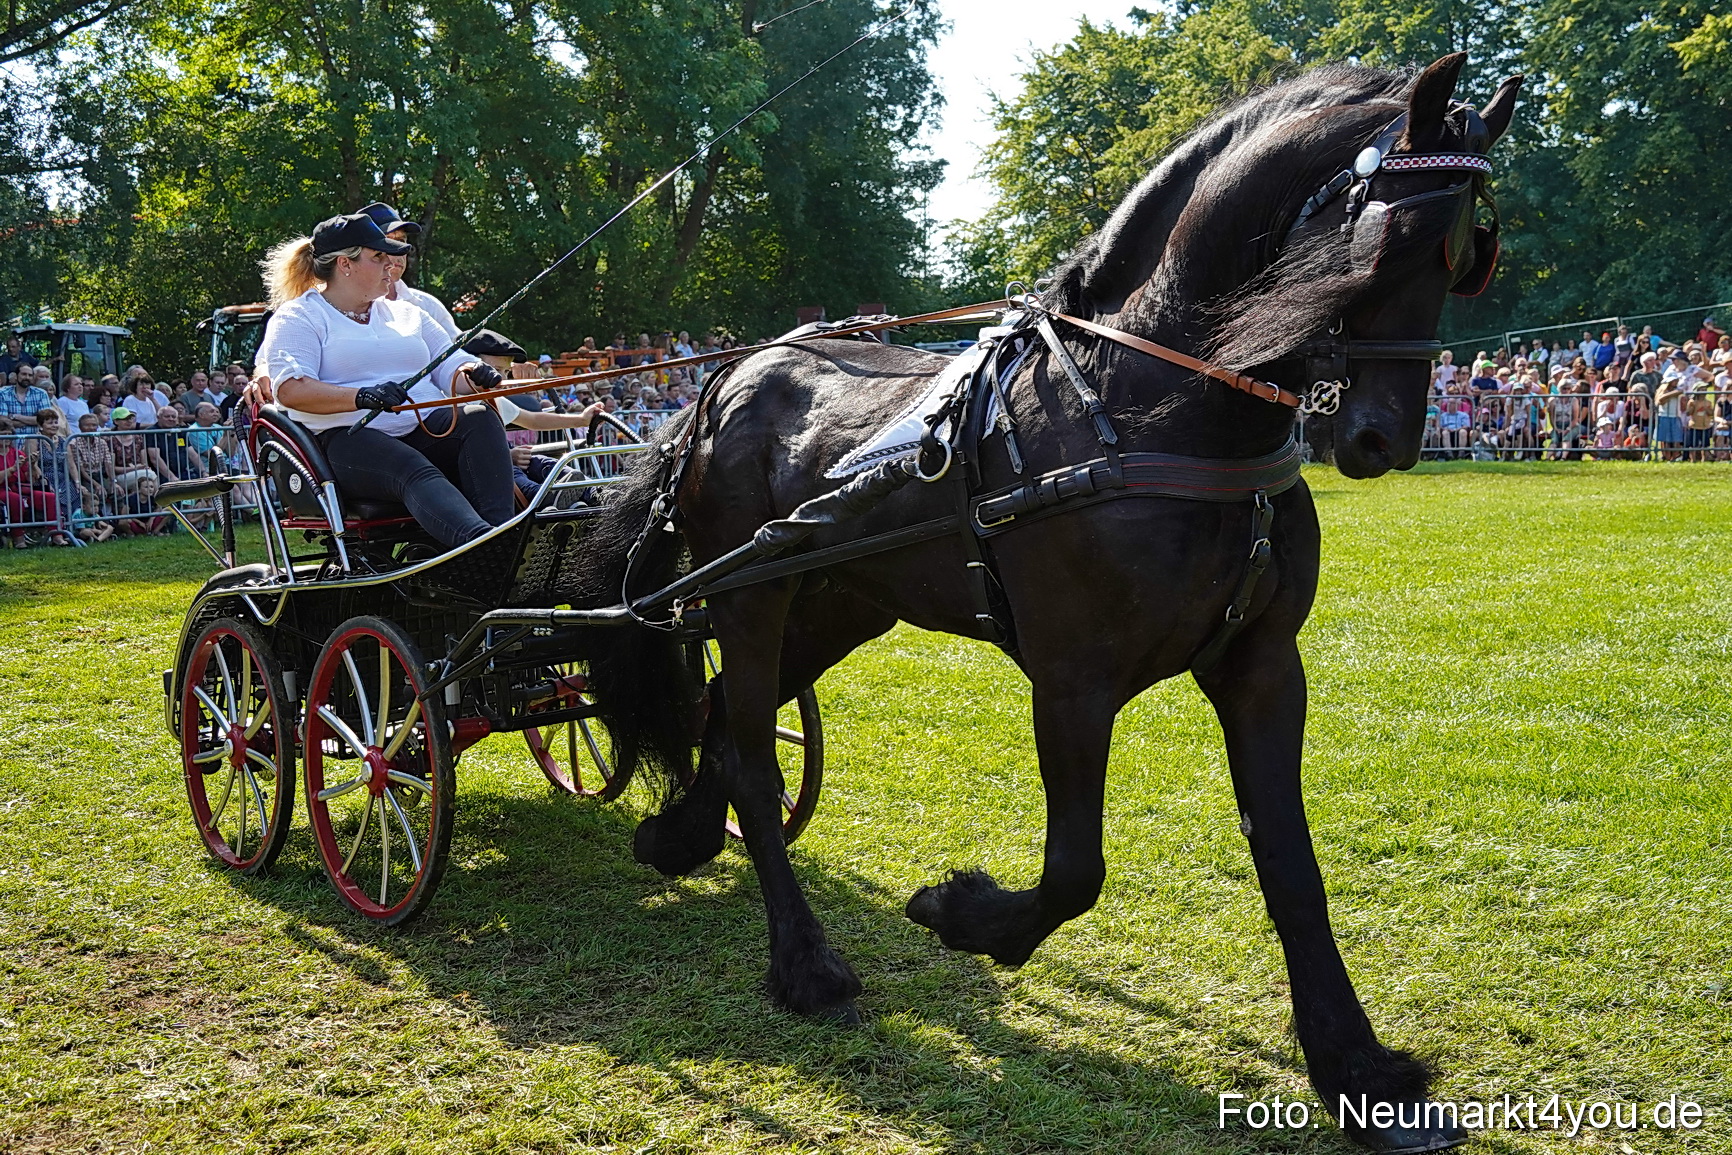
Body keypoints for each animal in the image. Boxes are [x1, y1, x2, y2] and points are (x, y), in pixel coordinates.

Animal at [572, 53, 1521, 1153]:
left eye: (1470, 253)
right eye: (1397, 238)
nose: (1382, 439)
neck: (1151, 403)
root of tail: (727, 379)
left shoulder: (1261, 668)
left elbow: (1292, 866)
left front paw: (1359, 1070)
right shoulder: (1072, 678)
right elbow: (1076, 867)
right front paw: (964, 914)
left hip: (843, 601)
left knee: (729, 721)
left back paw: (682, 836)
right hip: (752, 596)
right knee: (754, 757)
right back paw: (804, 963)